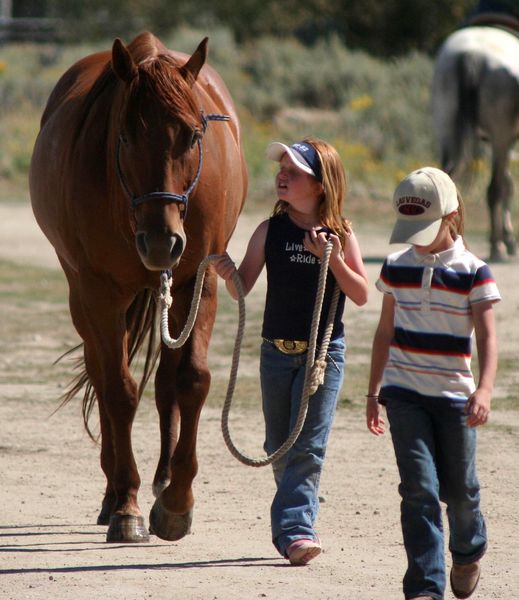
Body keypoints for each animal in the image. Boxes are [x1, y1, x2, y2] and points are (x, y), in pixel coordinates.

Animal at [29, 32, 248, 544]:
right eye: (125, 136)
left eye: (192, 134)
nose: (162, 241)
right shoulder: (98, 291)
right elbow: (119, 391)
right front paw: (126, 505)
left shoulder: (199, 280)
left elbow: (191, 380)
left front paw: (177, 502)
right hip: (84, 295)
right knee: (102, 373)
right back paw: (113, 495)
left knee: (166, 380)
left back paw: (163, 479)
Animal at [432, 25, 519, 262]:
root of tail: (472, 55)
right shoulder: (505, 141)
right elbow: (507, 187)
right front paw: (508, 240)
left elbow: (508, 184)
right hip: (499, 134)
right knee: (494, 189)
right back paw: (496, 247)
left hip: (446, 125)